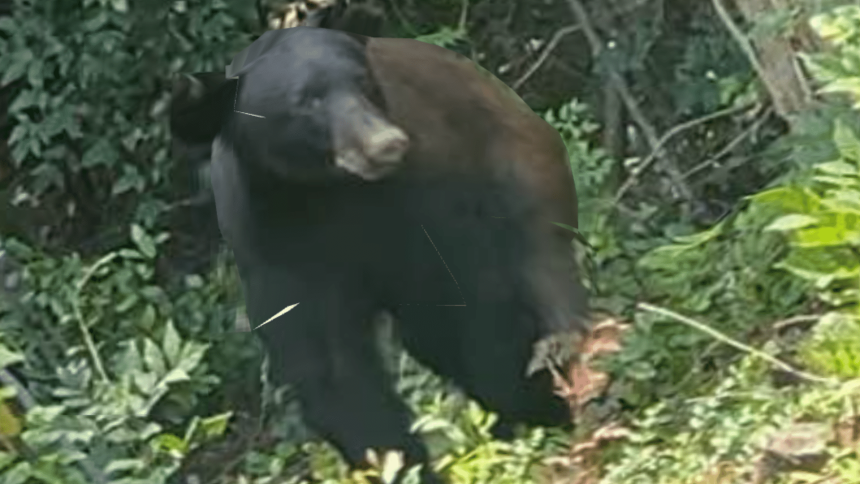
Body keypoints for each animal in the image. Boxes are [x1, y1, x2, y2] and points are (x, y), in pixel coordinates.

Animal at [173, 26, 592, 484]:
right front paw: (399, 464)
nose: (386, 144)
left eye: (363, 82)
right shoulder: (273, 246)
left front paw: (536, 401)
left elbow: (473, 310)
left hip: (515, 161)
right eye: (305, 101)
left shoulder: (427, 205)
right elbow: (331, 369)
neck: (323, 193)